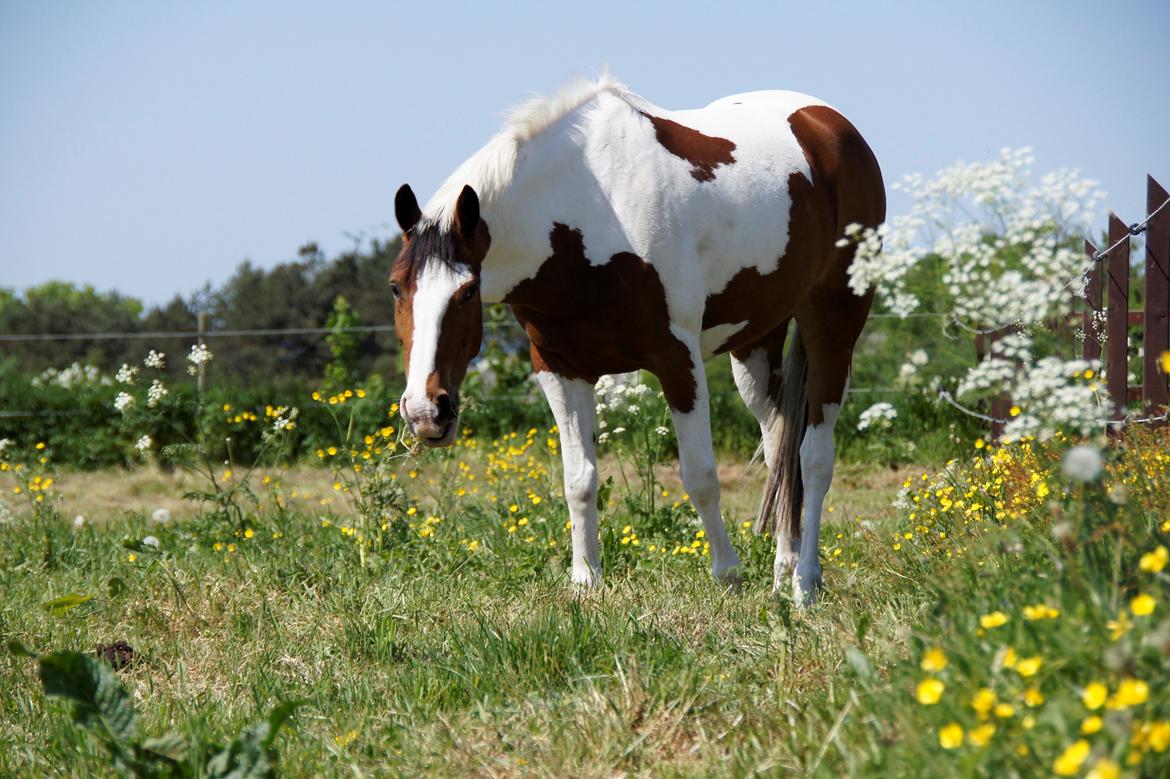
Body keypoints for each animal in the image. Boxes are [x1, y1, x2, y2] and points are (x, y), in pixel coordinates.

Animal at [388, 72, 879, 603]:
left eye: (468, 291)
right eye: (396, 287)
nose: (426, 412)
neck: (588, 213)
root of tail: (827, 125)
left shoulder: (677, 359)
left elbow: (700, 475)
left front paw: (728, 575)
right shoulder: (559, 369)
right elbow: (579, 480)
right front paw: (586, 580)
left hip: (834, 324)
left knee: (814, 458)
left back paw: (805, 585)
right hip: (756, 344)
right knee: (779, 450)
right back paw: (782, 577)